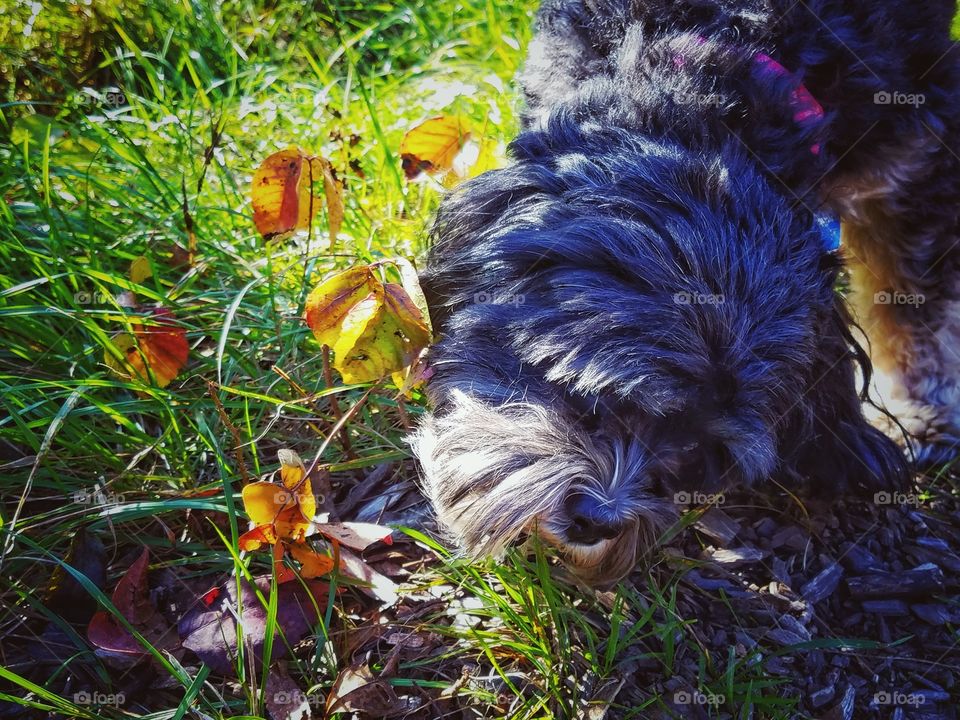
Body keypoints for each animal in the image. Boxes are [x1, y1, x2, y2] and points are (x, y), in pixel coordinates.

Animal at [410, 1, 960, 584]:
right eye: (591, 398)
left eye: (698, 449)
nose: (597, 520)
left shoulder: (918, 142)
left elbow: (912, 302)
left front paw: (919, 413)